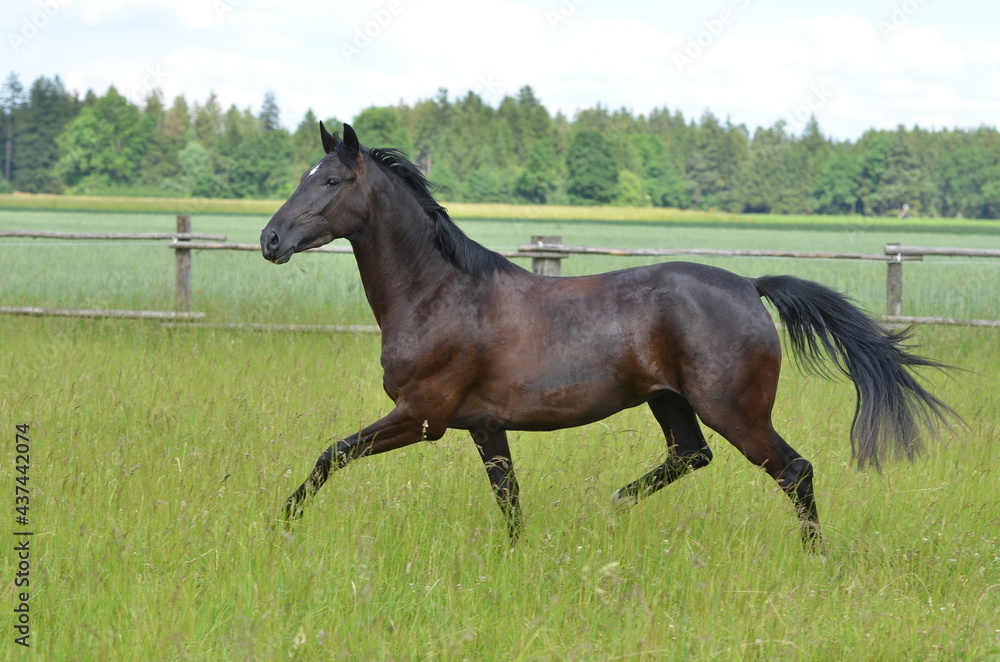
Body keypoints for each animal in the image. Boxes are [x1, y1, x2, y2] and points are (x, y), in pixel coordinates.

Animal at [258, 122, 952, 548]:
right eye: (303, 175)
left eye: (331, 180)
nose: (270, 239)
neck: (439, 294)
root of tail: (749, 286)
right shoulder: (483, 425)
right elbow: (509, 501)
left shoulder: (421, 416)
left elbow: (330, 454)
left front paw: (282, 524)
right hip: (669, 401)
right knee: (691, 456)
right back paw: (615, 504)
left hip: (736, 411)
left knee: (796, 472)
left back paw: (815, 558)